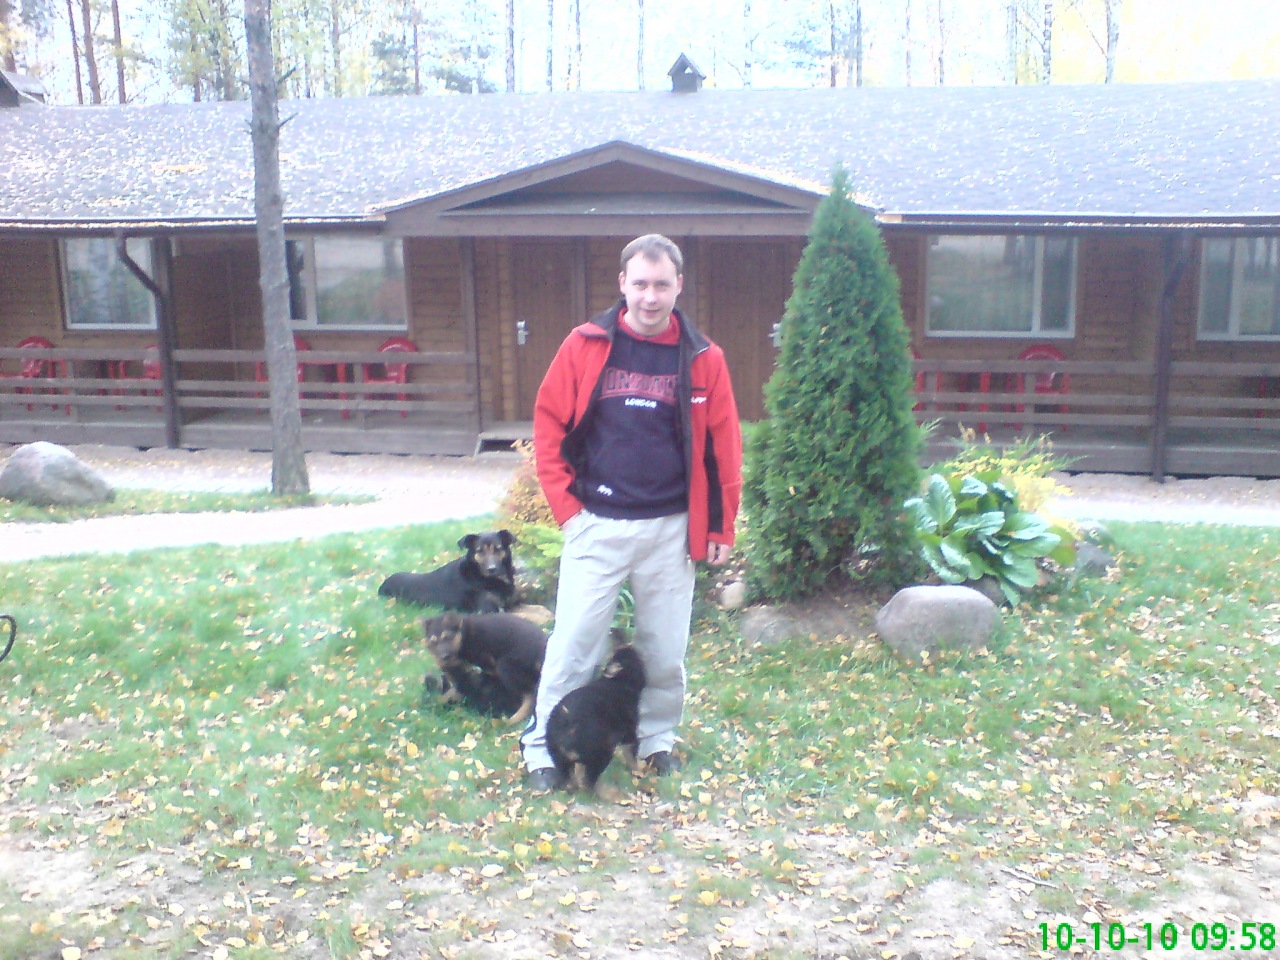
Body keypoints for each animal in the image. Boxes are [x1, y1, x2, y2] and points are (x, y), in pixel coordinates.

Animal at [545, 644, 647, 796]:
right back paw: (608, 794)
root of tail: (568, 726)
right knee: (588, 782)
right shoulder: (629, 730)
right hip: (601, 752)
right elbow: (631, 752)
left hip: (558, 756)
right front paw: (638, 771)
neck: (618, 682)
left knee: (570, 779)